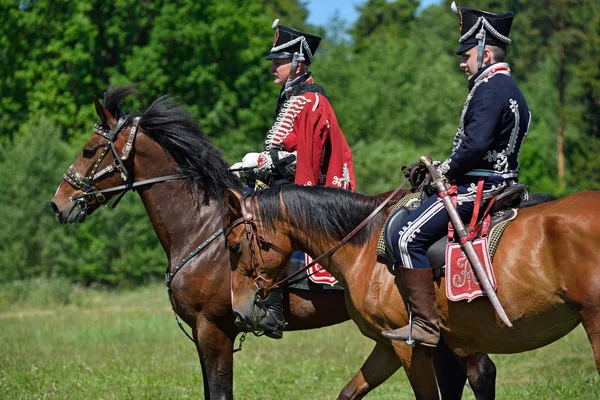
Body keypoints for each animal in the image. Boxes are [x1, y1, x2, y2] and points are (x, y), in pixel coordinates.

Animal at [49, 86, 494, 398]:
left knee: (480, 372)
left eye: (89, 149)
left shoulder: (213, 330)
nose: (58, 205)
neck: (203, 229)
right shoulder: (203, 334)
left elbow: (220, 392)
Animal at [224, 185, 600, 400]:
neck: (364, 248)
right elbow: (349, 392)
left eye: (234, 246)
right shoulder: (388, 345)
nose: (239, 310)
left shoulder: (410, 348)